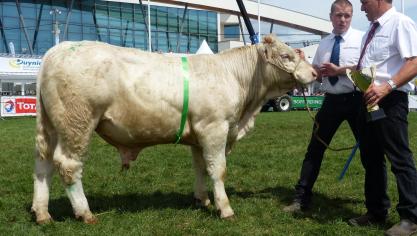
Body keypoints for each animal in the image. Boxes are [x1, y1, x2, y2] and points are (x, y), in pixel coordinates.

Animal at [31, 35, 316, 223]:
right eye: (287, 56)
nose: (314, 73)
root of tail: (57, 50)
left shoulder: (200, 135)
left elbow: (201, 168)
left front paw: (202, 199)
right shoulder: (215, 128)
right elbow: (218, 170)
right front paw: (225, 208)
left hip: (52, 126)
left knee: (43, 165)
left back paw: (42, 212)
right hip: (77, 123)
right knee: (68, 165)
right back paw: (85, 212)